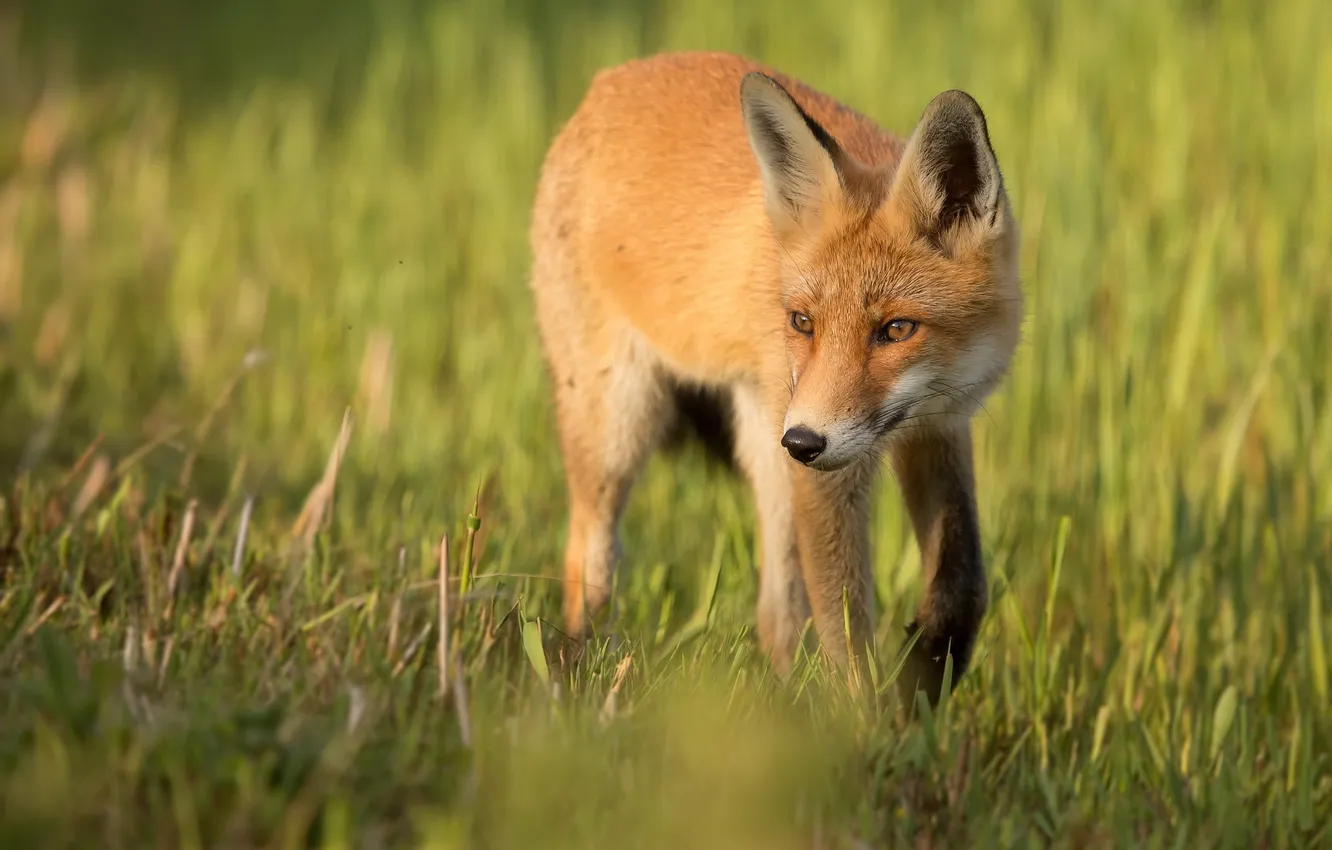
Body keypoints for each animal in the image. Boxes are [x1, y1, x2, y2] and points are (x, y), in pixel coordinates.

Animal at [528, 51, 1022, 703]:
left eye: (896, 329)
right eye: (802, 322)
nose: (805, 442)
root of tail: (608, 81)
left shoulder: (939, 425)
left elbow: (962, 583)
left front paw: (929, 672)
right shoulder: (826, 467)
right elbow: (846, 631)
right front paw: (868, 721)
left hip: (763, 438)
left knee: (776, 614)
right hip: (626, 428)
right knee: (587, 559)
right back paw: (582, 675)